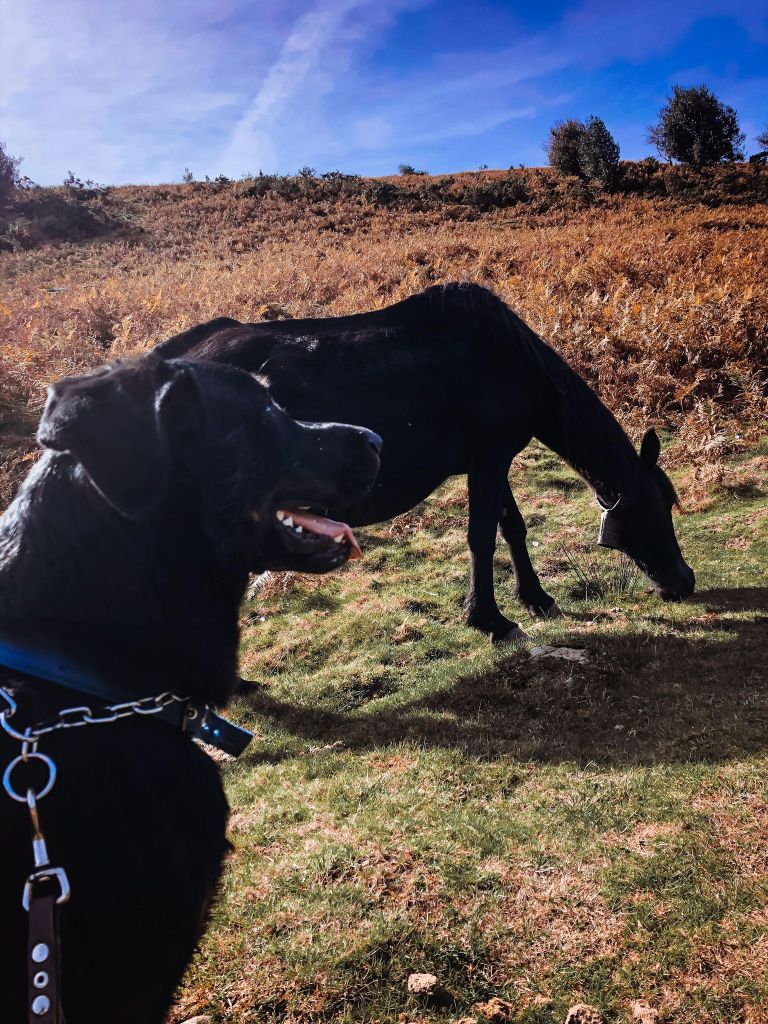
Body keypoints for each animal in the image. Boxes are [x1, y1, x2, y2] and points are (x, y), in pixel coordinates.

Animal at [156, 280, 696, 638]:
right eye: (659, 507)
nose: (684, 581)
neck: (510, 359)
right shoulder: (487, 463)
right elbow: (481, 538)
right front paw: (489, 618)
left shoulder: (492, 461)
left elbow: (512, 529)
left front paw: (535, 598)